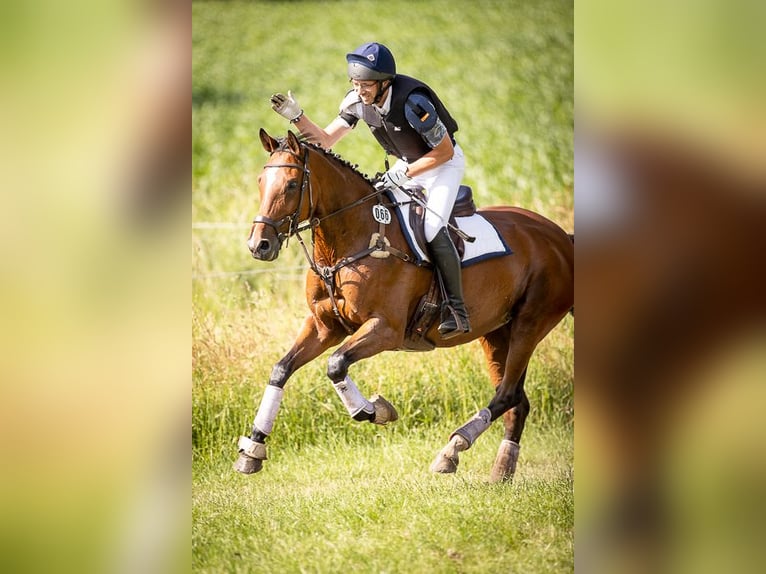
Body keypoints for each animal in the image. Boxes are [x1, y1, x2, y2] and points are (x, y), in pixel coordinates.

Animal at [237, 129, 572, 482]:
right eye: (260, 181)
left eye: (291, 185)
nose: (259, 245)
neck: (349, 242)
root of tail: (561, 237)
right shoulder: (324, 327)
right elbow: (281, 369)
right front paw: (253, 448)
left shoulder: (386, 329)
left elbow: (336, 364)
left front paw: (374, 410)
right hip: (495, 333)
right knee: (516, 401)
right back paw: (500, 470)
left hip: (529, 324)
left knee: (508, 393)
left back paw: (451, 450)